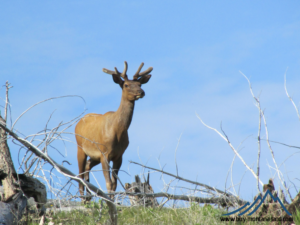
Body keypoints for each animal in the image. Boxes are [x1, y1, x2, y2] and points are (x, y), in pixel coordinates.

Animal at [75, 60, 152, 200]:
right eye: (126, 85)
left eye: (139, 84)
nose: (141, 92)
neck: (118, 131)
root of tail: (78, 123)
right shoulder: (105, 153)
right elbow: (108, 183)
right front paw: (110, 202)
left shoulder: (119, 155)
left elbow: (114, 184)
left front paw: (114, 201)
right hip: (80, 147)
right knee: (80, 175)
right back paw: (83, 199)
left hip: (95, 156)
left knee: (87, 166)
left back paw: (89, 197)